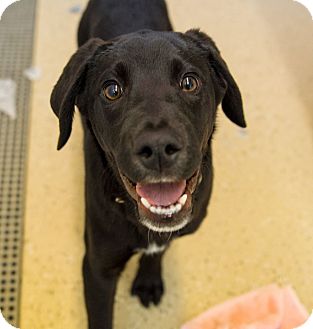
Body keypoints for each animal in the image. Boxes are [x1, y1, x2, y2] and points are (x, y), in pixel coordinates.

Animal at [49, 0, 244, 328]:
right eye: (112, 90)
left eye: (189, 82)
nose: (158, 149)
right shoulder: (98, 268)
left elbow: (158, 250)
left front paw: (149, 279)